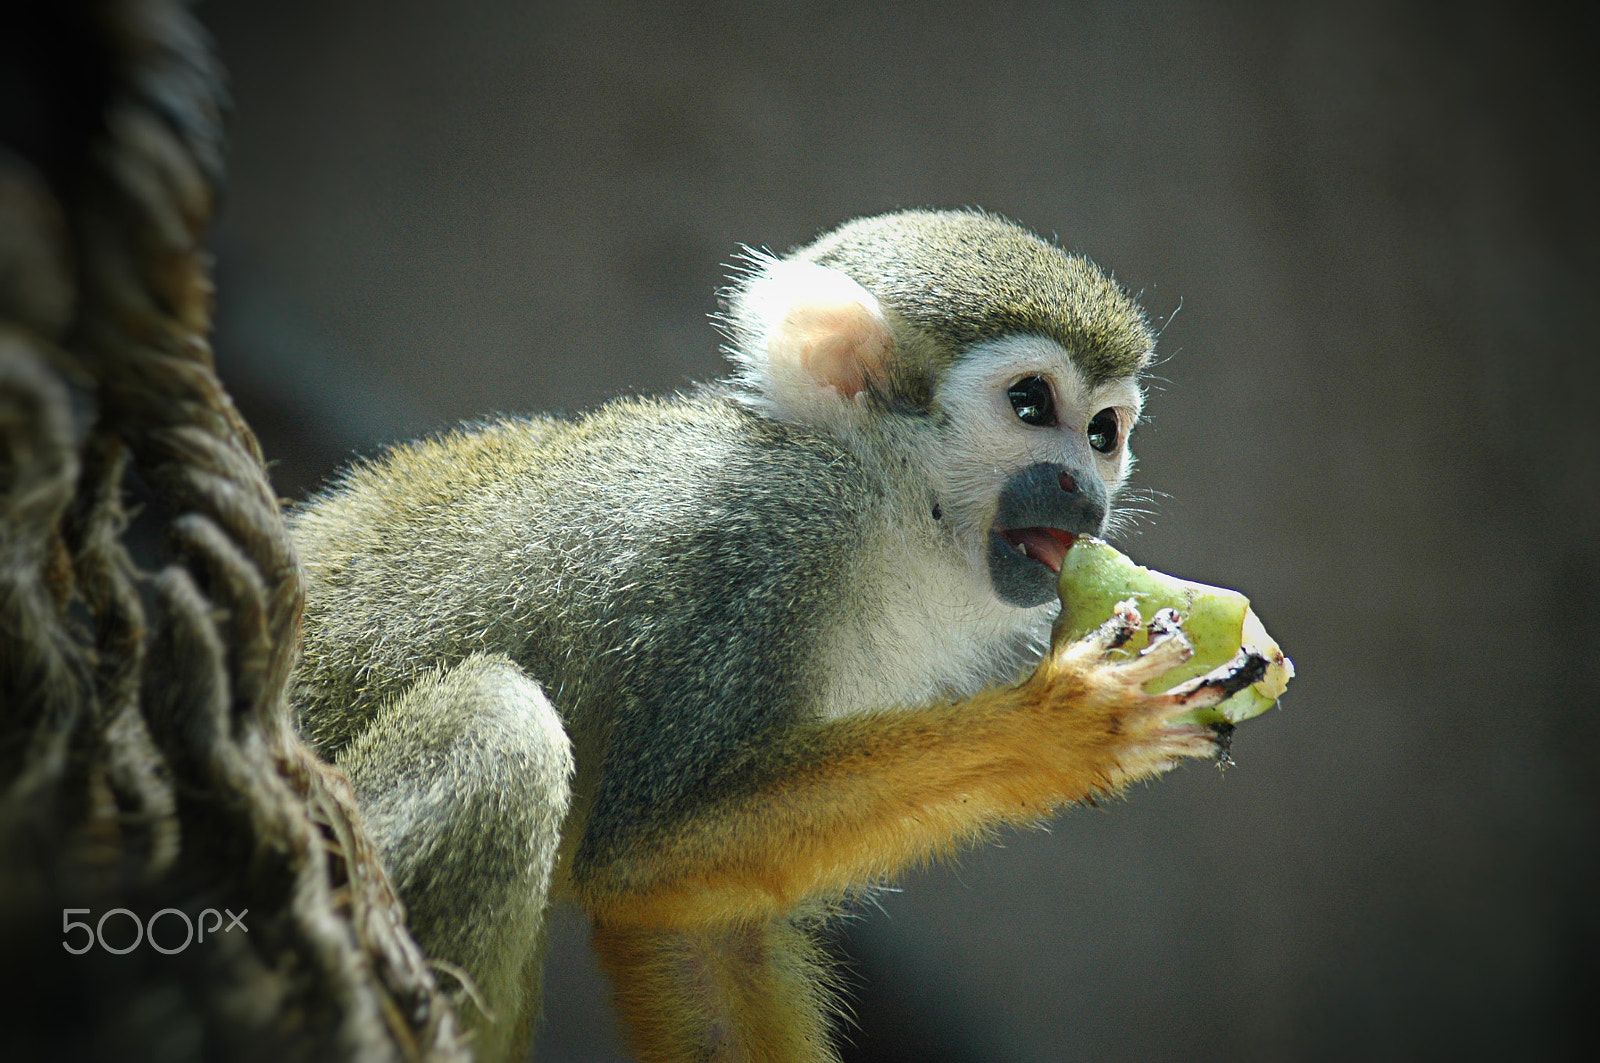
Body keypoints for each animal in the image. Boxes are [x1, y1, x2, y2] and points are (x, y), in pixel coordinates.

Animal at [288, 209, 1267, 1062]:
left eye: (1103, 432)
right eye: (1031, 404)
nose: (1082, 488)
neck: (882, 496)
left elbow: (691, 929)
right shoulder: (760, 547)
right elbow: (643, 849)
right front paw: (1062, 725)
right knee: (502, 723)